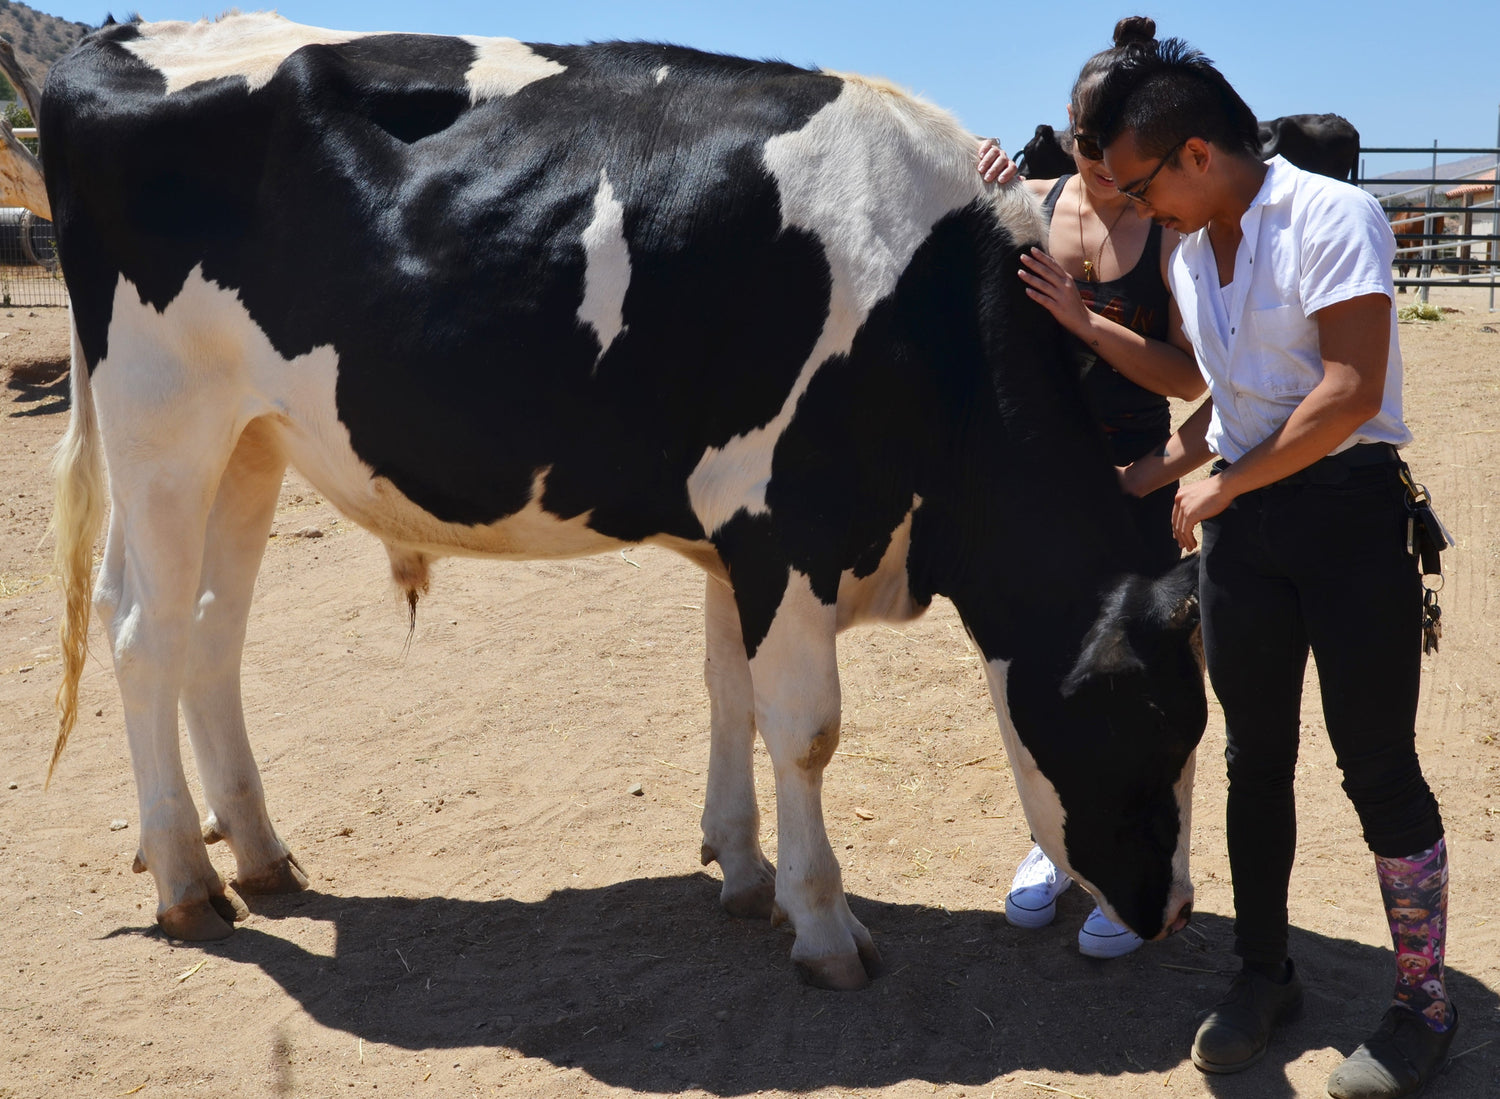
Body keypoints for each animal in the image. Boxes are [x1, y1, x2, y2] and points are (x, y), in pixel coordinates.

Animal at [43, 10, 1206, 983]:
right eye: (1154, 723)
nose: (1176, 914)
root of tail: (123, 35)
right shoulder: (785, 524)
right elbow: (804, 728)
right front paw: (825, 924)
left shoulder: (738, 533)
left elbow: (728, 691)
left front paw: (743, 870)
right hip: (162, 420)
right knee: (146, 634)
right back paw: (189, 883)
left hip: (250, 440)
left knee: (212, 630)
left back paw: (259, 852)